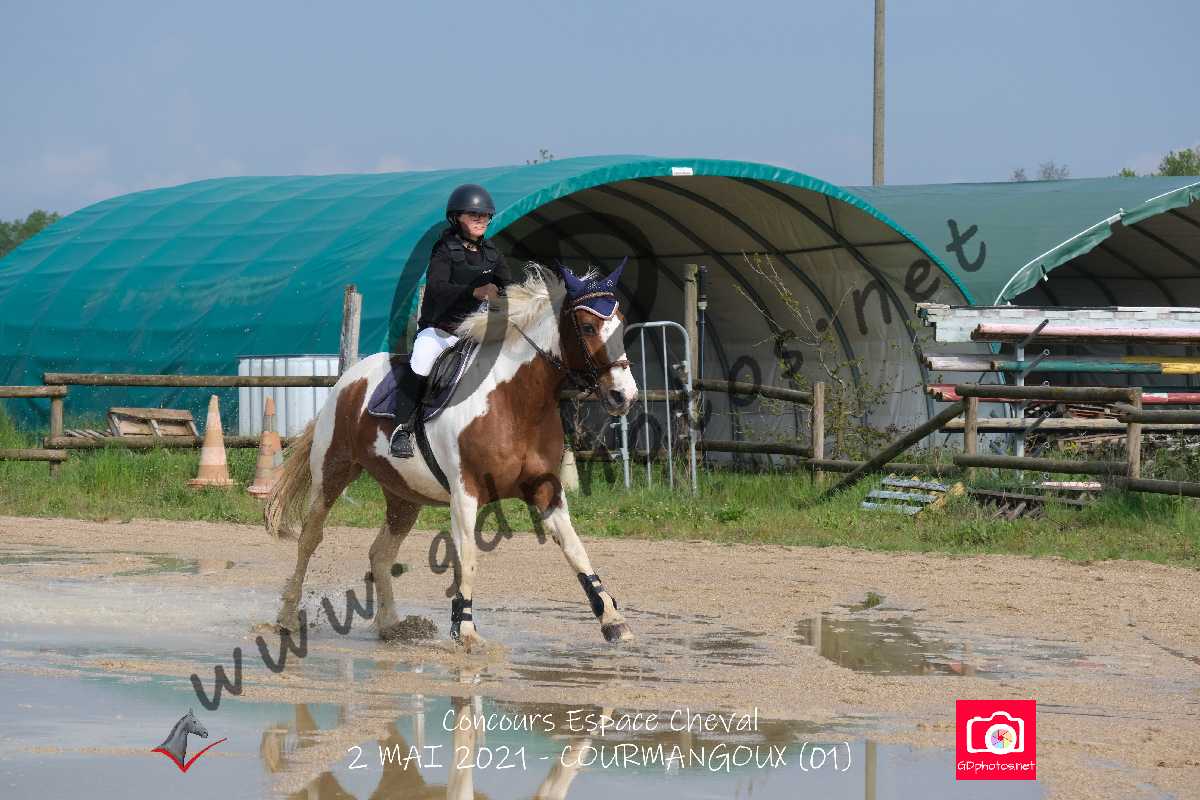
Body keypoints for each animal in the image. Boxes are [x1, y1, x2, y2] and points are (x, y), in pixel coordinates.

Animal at [264, 261, 638, 650]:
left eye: (621, 323)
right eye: (588, 327)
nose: (623, 396)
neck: (516, 402)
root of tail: (348, 379)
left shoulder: (545, 489)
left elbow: (575, 549)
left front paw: (613, 620)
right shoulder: (465, 492)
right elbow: (468, 556)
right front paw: (466, 630)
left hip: (403, 495)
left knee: (380, 554)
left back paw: (392, 625)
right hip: (334, 471)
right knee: (310, 538)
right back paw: (287, 617)